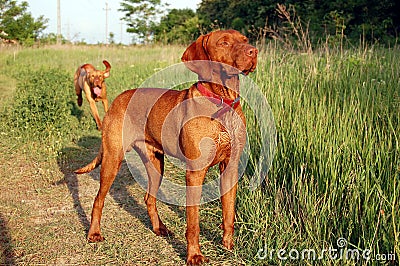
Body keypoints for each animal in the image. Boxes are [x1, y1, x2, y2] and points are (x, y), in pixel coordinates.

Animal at [74, 29, 256, 264]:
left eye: (245, 40)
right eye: (224, 42)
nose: (254, 51)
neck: (222, 102)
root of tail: (117, 99)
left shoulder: (230, 168)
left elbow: (229, 213)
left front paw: (228, 246)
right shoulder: (195, 173)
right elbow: (193, 222)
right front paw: (194, 255)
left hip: (155, 165)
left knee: (148, 198)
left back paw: (158, 228)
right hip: (112, 159)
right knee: (98, 199)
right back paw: (94, 233)